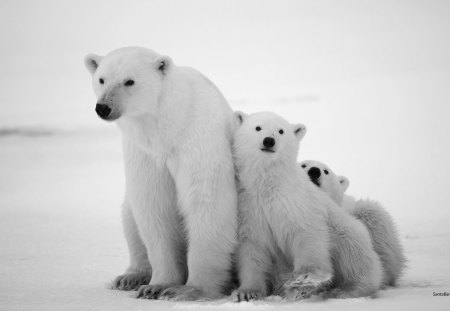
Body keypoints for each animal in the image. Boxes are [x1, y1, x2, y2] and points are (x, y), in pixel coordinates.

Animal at [85, 47, 239, 302]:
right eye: (101, 79)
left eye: (129, 81)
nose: (103, 107)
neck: (168, 127)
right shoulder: (145, 153)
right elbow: (154, 207)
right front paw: (156, 286)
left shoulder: (199, 142)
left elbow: (206, 203)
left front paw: (189, 290)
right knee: (129, 217)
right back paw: (130, 277)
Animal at [230, 112, 382, 302]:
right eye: (258, 127)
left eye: (281, 131)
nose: (269, 141)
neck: (269, 185)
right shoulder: (250, 208)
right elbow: (252, 248)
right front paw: (247, 292)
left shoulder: (296, 202)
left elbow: (307, 234)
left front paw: (304, 278)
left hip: (347, 231)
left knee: (353, 255)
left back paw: (344, 290)